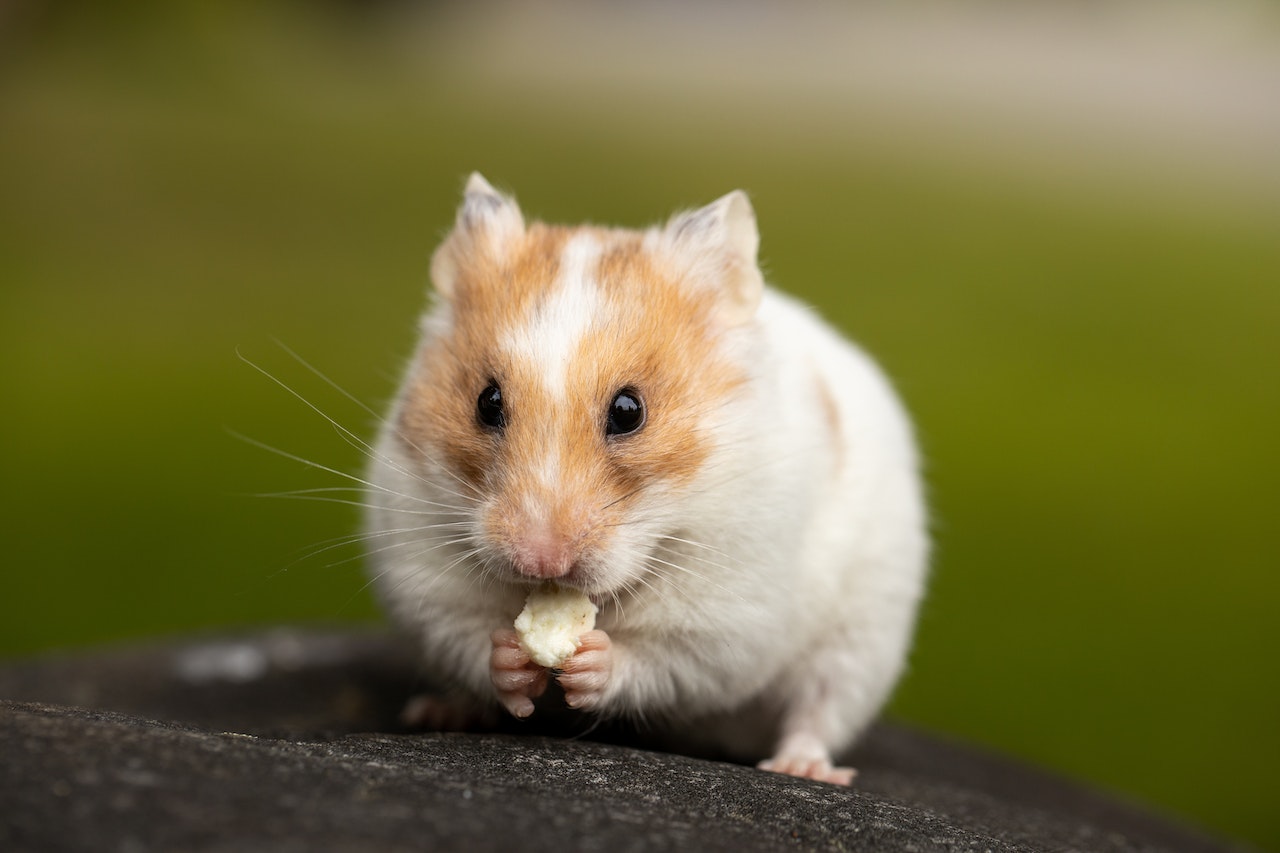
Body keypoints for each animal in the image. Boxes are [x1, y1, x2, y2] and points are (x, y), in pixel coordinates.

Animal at [366, 174, 926, 783]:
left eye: (629, 411)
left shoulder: (726, 619)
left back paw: (802, 767)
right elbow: (468, 637)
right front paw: (513, 658)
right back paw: (437, 711)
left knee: (819, 709)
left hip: (861, 639)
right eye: (486, 402)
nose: (541, 563)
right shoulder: (425, 575)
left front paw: (591, 662)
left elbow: (661, 661)